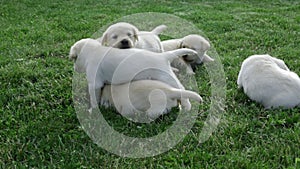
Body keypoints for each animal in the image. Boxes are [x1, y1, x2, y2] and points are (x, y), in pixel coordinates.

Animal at [69, 38, 198, 109]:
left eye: (74, 59)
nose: (75, 69)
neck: (92, 51)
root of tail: (163, 56)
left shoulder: (94, 83)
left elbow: (94, 97)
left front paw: (93, 109)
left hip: (166, 76)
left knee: (181, 88)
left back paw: (186, 106)